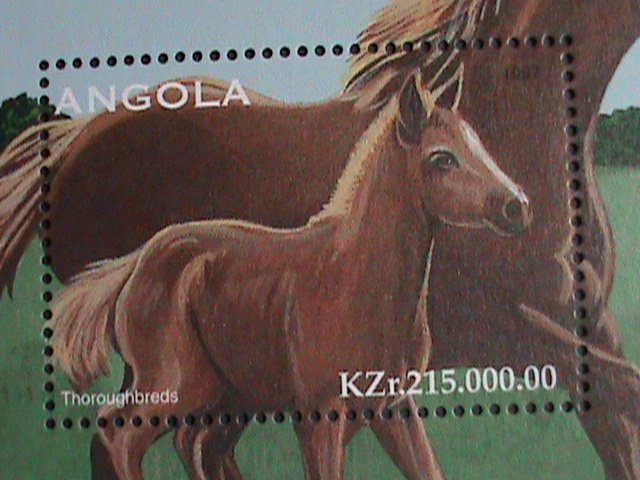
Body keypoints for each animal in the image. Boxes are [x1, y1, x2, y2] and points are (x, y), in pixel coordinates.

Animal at [52, 72, 531, 480]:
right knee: (117, 437)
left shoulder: (394, 409)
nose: (517, 206)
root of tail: (135, 264)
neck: (358, 279)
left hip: (226, 395)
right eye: (442, 158)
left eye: (479, 145)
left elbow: (428, 469)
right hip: (173, 386)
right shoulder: (321, 418)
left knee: (196, 445)